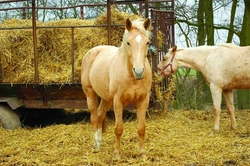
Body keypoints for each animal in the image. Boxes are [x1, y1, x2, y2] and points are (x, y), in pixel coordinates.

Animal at [82, 17, 151, 158]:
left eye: (147, 42)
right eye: (128, 42)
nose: (139, 71)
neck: (131, 77)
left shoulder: (143, 101)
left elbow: (141, 128)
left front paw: (142, 154)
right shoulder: (118, 101)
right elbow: (118, 128)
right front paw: (117, 154)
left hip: (106, 99)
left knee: (100, 115)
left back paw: (99, 141)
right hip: (90, 94)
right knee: (94, 117)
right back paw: (96, 145)